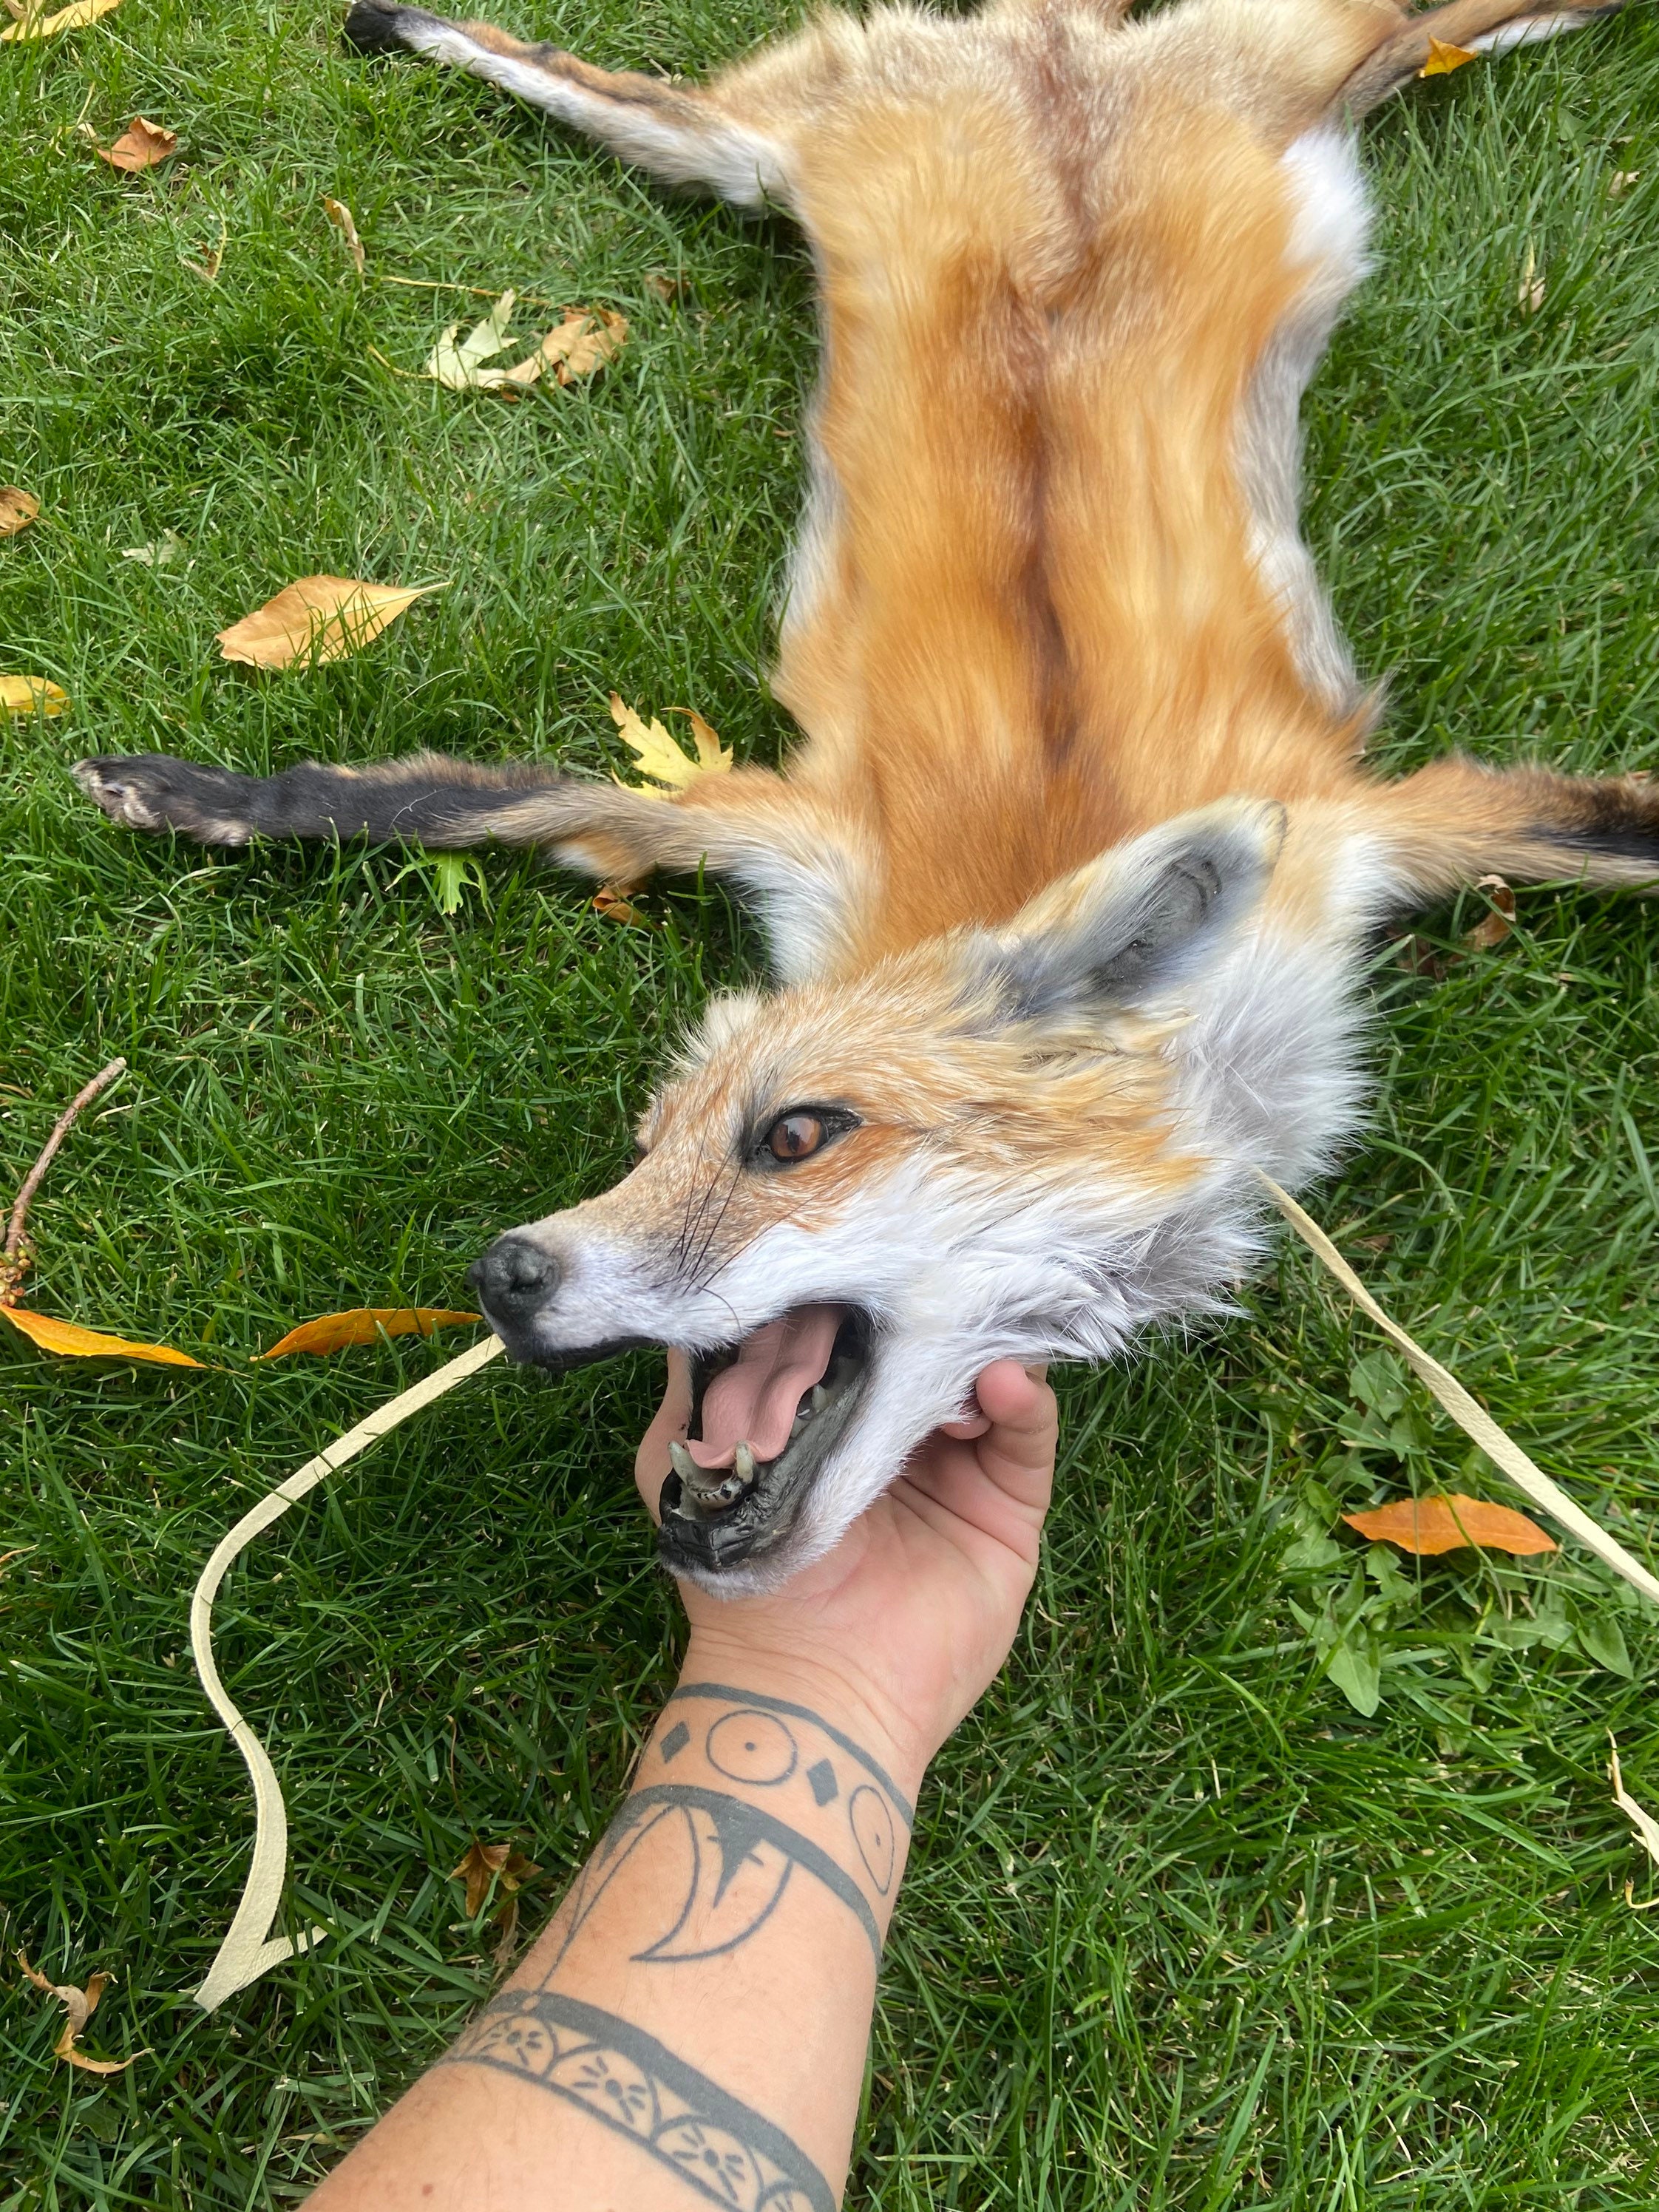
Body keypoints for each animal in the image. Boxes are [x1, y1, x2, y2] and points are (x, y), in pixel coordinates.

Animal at [73, 0, 1649, 1589]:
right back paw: (403, 25)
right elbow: (464, 801)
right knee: (608, 87)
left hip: (1276, 77)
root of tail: (1049, 45)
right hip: (770, 152)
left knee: (1417, 35)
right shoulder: (771, 822)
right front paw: (187, 789)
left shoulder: (1362, 825)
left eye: (793, 1134)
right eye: (644, 1147)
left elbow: (1612, 828)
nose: (503, 1271)